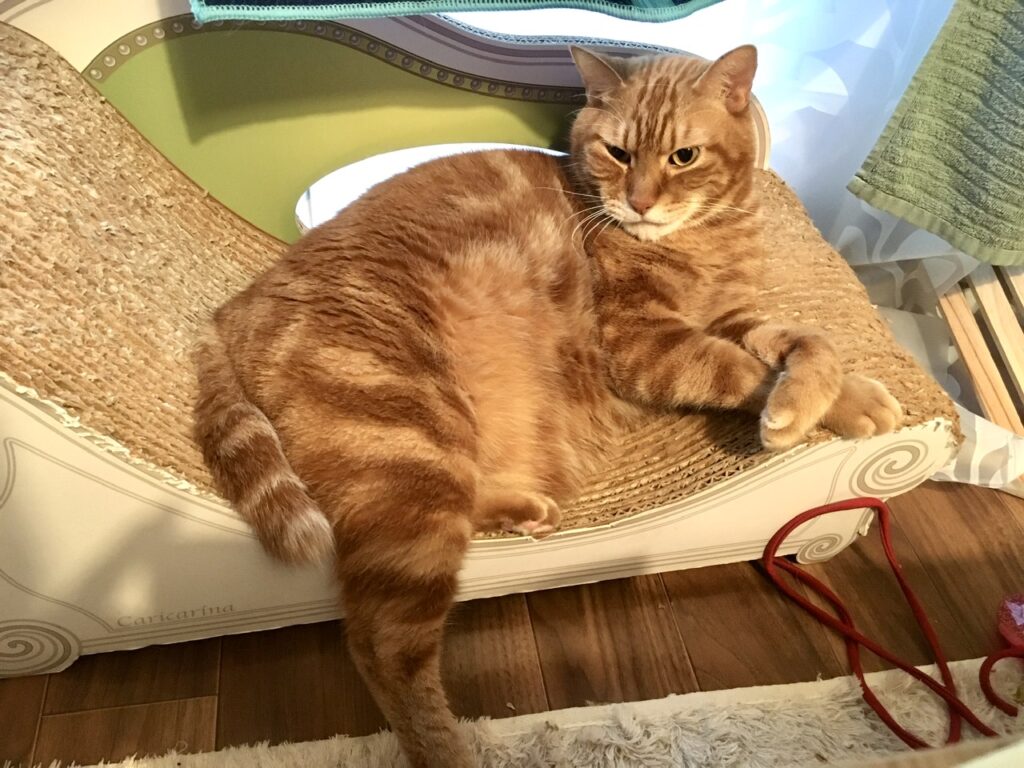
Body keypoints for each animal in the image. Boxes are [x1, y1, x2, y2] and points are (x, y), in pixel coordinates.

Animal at [193, 44, 901, 768]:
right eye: (618, 152)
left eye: (683, 157)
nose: (640, 203)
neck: (702, 243)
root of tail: (231, 309)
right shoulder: (647, 346)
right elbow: (746, 371)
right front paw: (795, 411)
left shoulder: (738, 318)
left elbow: (808, 342)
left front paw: (850, 396)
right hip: (413, 444)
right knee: (382, 646)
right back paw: (451, 751)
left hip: (434, 457)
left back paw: (526, 510)